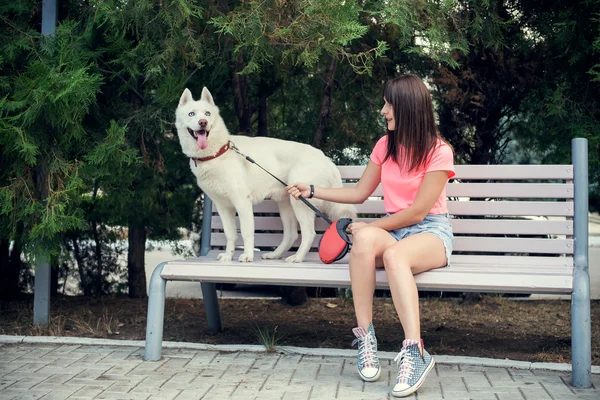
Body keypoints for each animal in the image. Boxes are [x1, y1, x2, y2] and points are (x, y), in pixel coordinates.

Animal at [176, 87, 356, 262]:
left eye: (207, 113)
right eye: (192, 114)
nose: (203, 122)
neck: (218, 152)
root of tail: (325, 158)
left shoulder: (242, 202)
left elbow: (246, 232)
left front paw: (247, 256)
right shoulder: (223, 207)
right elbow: (230, 235)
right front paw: (228, 256)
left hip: (300, 202)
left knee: (308, 234)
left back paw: (297, 258)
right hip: (285, 205)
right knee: (291, 235)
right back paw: (275, 255)